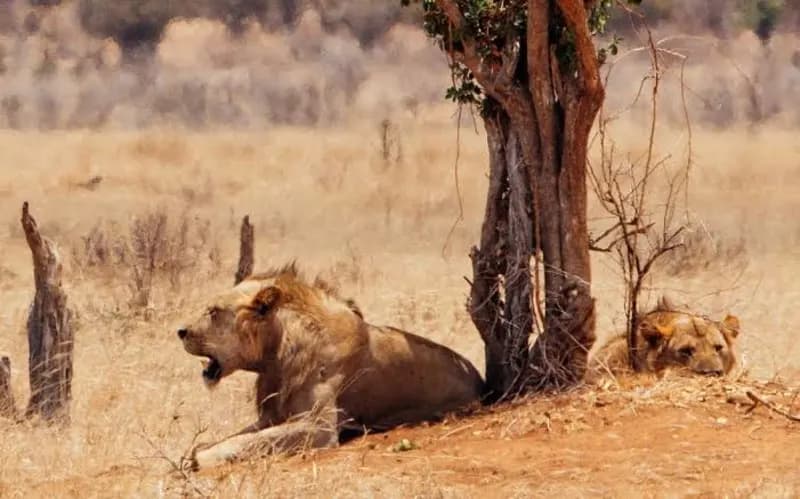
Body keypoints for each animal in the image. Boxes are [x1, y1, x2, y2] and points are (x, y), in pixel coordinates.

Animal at [177, 263, 484, 469]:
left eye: (213, 312)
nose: (180, 331)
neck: (275, 357)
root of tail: (479, 378)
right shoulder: (273, 415)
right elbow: (246, 435)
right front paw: (198, 449)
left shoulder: (319, 426)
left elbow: (255, 441)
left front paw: (201, 457)